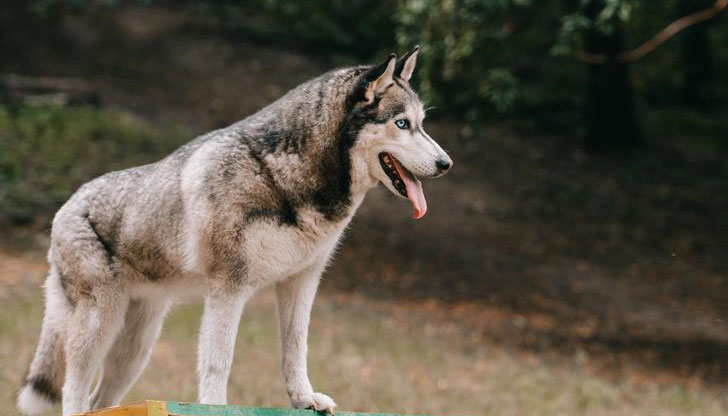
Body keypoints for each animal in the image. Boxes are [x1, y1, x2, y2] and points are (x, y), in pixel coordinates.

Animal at [17, 46, 450, 416]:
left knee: (99, 401)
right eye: (402, 124)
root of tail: (65, 207)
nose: (446, 163)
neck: (288, 178)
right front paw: (215, 405)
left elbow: (296, 350)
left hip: (136, 347)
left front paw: (305, 398)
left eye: (421, 125)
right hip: (98, 327)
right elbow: (218, 362)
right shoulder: (228, 289)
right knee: (74, 394)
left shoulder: (301, 283)